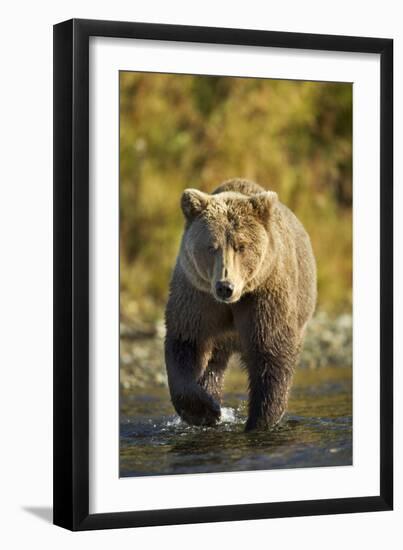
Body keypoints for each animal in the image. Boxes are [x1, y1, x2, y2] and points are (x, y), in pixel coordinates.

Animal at [166, 179, 318, 434]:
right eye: (212, 246)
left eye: (241, 246)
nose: (224, 287)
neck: (233, 303)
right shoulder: (197, 297)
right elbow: (186, 343)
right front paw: (206, 411)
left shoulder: (264, 296)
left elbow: (271, 354)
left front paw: (259, 421)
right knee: (213, 365)